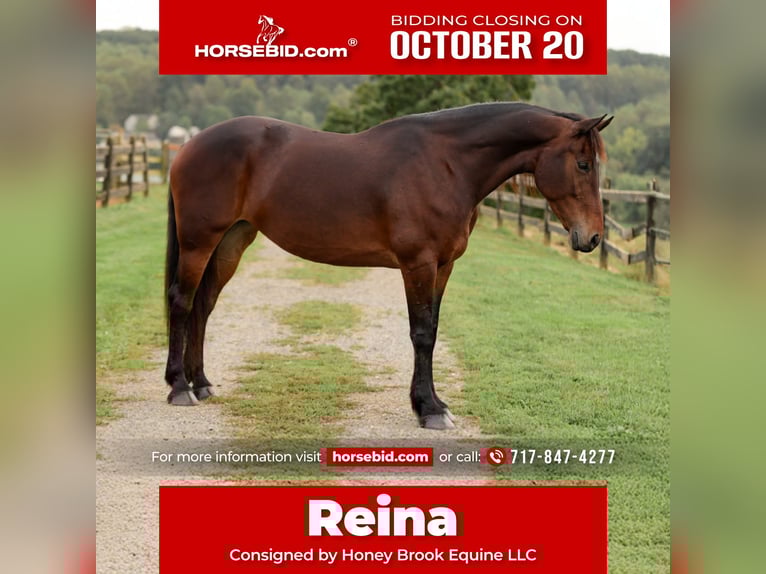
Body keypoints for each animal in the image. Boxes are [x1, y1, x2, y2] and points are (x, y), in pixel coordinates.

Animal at [164, 103, 613, 430]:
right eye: (583, 165)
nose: (592, 237)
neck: (445, 164)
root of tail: (189, 145)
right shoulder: (418, 264)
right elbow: (422, 334)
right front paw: (429, 409)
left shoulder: (443, 266)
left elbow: (433, 330)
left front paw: (431, 402)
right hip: (199, 242)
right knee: (182, 302)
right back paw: (179, 387)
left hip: (231, 241)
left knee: (203, 306)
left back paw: (201, 383)